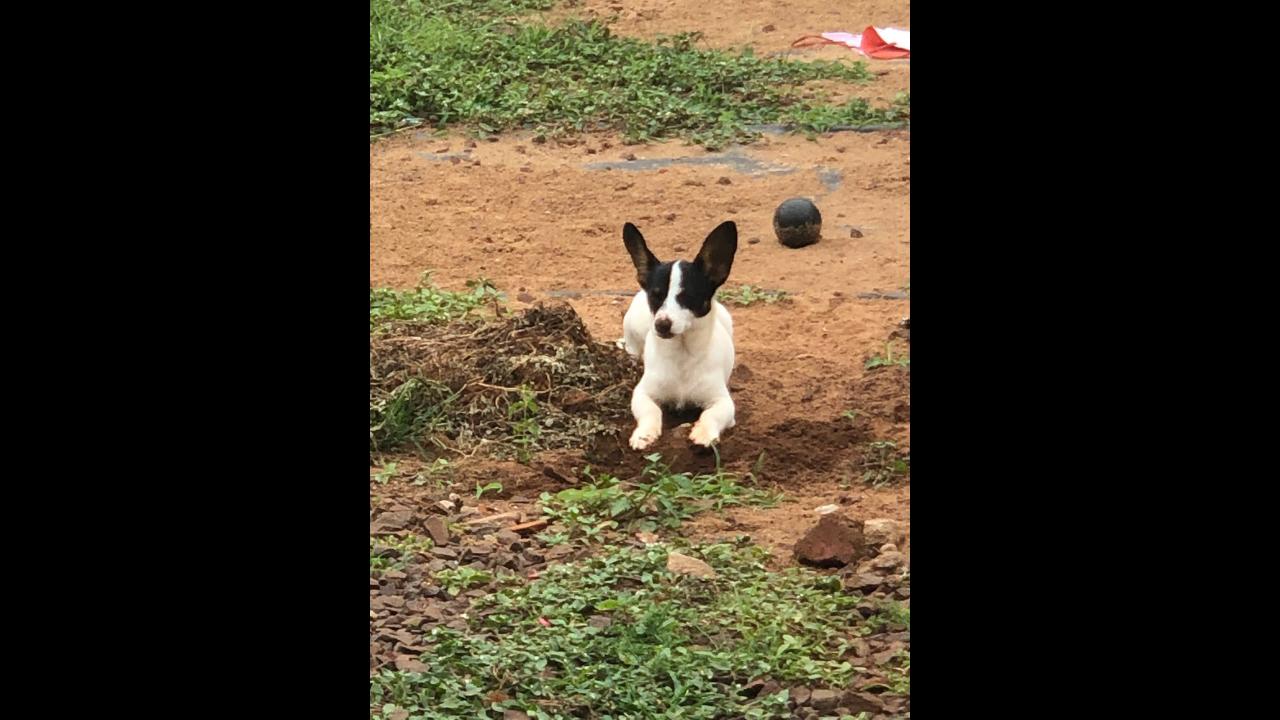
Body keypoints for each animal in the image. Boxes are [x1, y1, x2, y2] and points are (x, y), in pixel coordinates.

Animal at [622, 219, 742, 448]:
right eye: (655, 296)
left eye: (688, 297)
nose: (661, 324)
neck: (682, 353)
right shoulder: (642, 393)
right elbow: (651, 410)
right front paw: (644, 433)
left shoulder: (724, 403)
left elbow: (711, 415)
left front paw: (704, 433)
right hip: (633, 324)